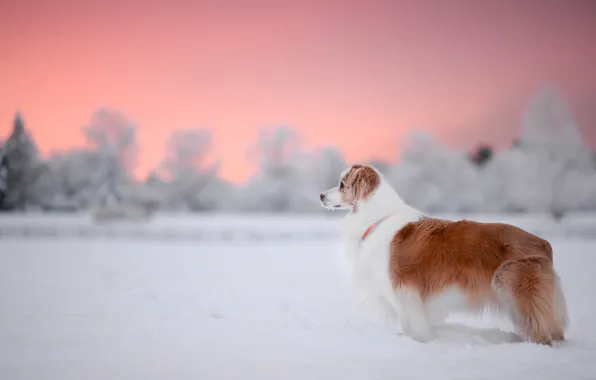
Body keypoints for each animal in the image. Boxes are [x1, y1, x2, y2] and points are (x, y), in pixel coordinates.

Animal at [318, 163, 572, 344]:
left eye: (341, 184)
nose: (320, 195)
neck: (379, 217)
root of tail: (543, 243)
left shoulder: (401, 290)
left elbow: (408, 322)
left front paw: (416, 341)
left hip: (513, 286)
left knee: (542, 333)